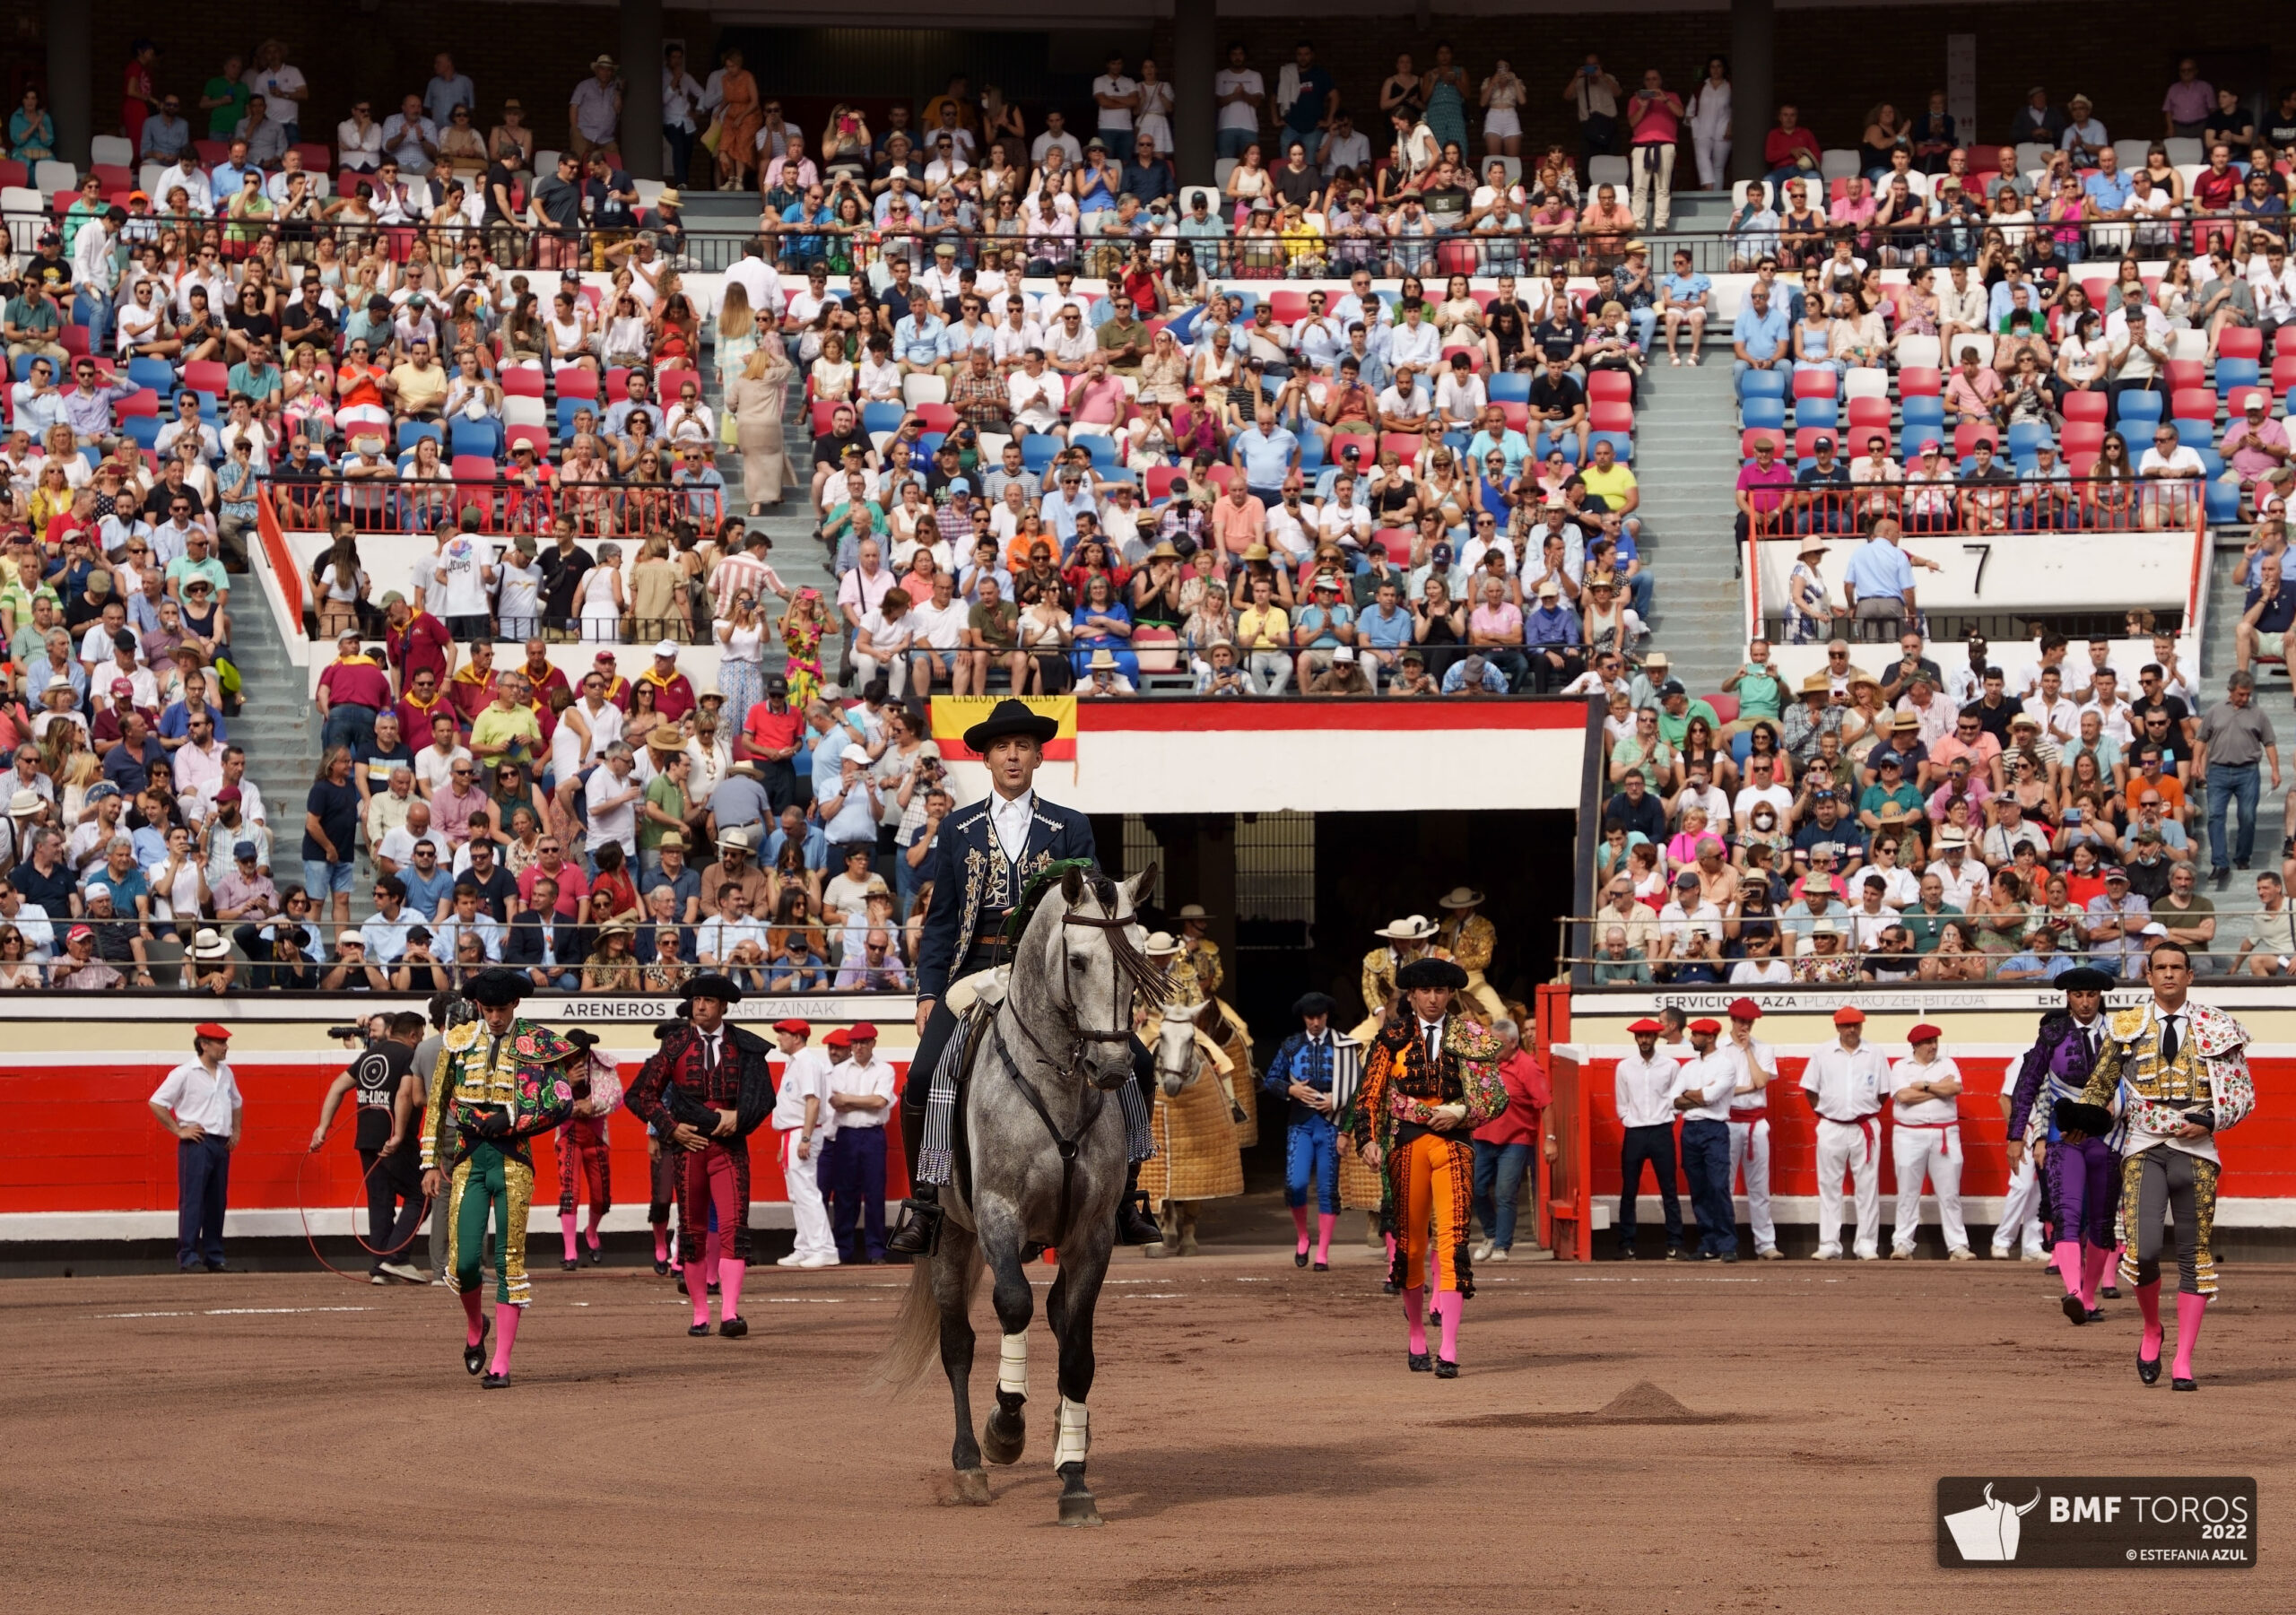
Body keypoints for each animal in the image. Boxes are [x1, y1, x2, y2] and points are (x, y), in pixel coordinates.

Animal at [876, 862, 1166, 1523]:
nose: (1113, 1068)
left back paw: (1065, 1434)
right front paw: (1005, 1428)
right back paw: (969, 1464)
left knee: (1057, 1318)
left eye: (1141, 957)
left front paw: (1075, 1478)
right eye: (1078, 960)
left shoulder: (1092, 1234)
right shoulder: (997, 1215)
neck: (1058, 1080)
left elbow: (1078, 1349)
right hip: (950, 1238)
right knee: (958, 1342)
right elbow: (1012, 1306)